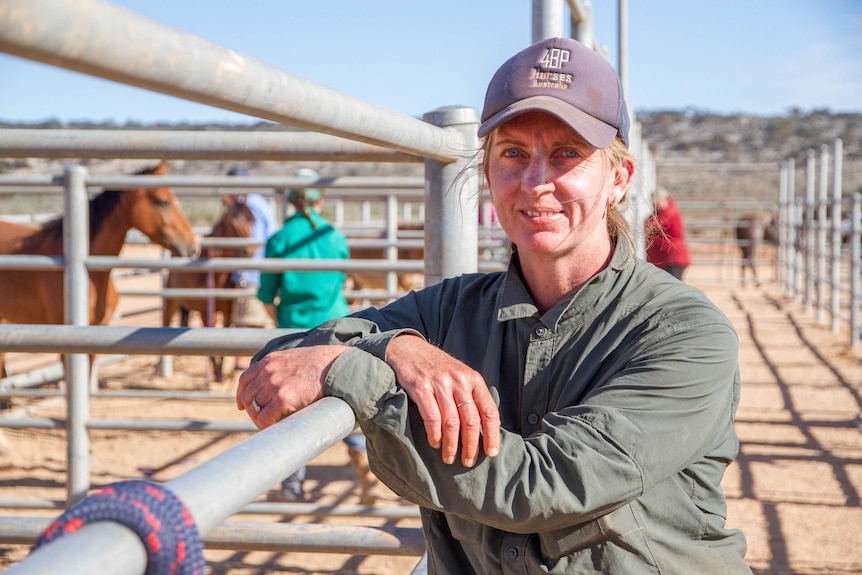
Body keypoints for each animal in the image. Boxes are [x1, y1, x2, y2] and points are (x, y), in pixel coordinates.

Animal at [162, 195, 256, 382]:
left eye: (251, 220)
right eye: (232, 221)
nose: (249, 250)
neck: (217, 275)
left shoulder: (226, 311)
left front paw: (220, 373)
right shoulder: (207, 312)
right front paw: (217, 373)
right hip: (171, 302)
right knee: (166, 321)